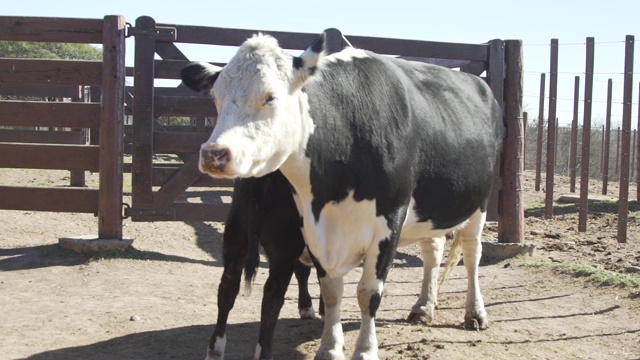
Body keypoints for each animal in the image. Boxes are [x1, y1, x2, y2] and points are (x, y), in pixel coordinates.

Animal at [210, 169, 318, 360]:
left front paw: (307, 307)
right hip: (284, 248)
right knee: (271, 299)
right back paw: (264, 353)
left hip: (236, 236)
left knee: (227, 289)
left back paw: (216, 349)